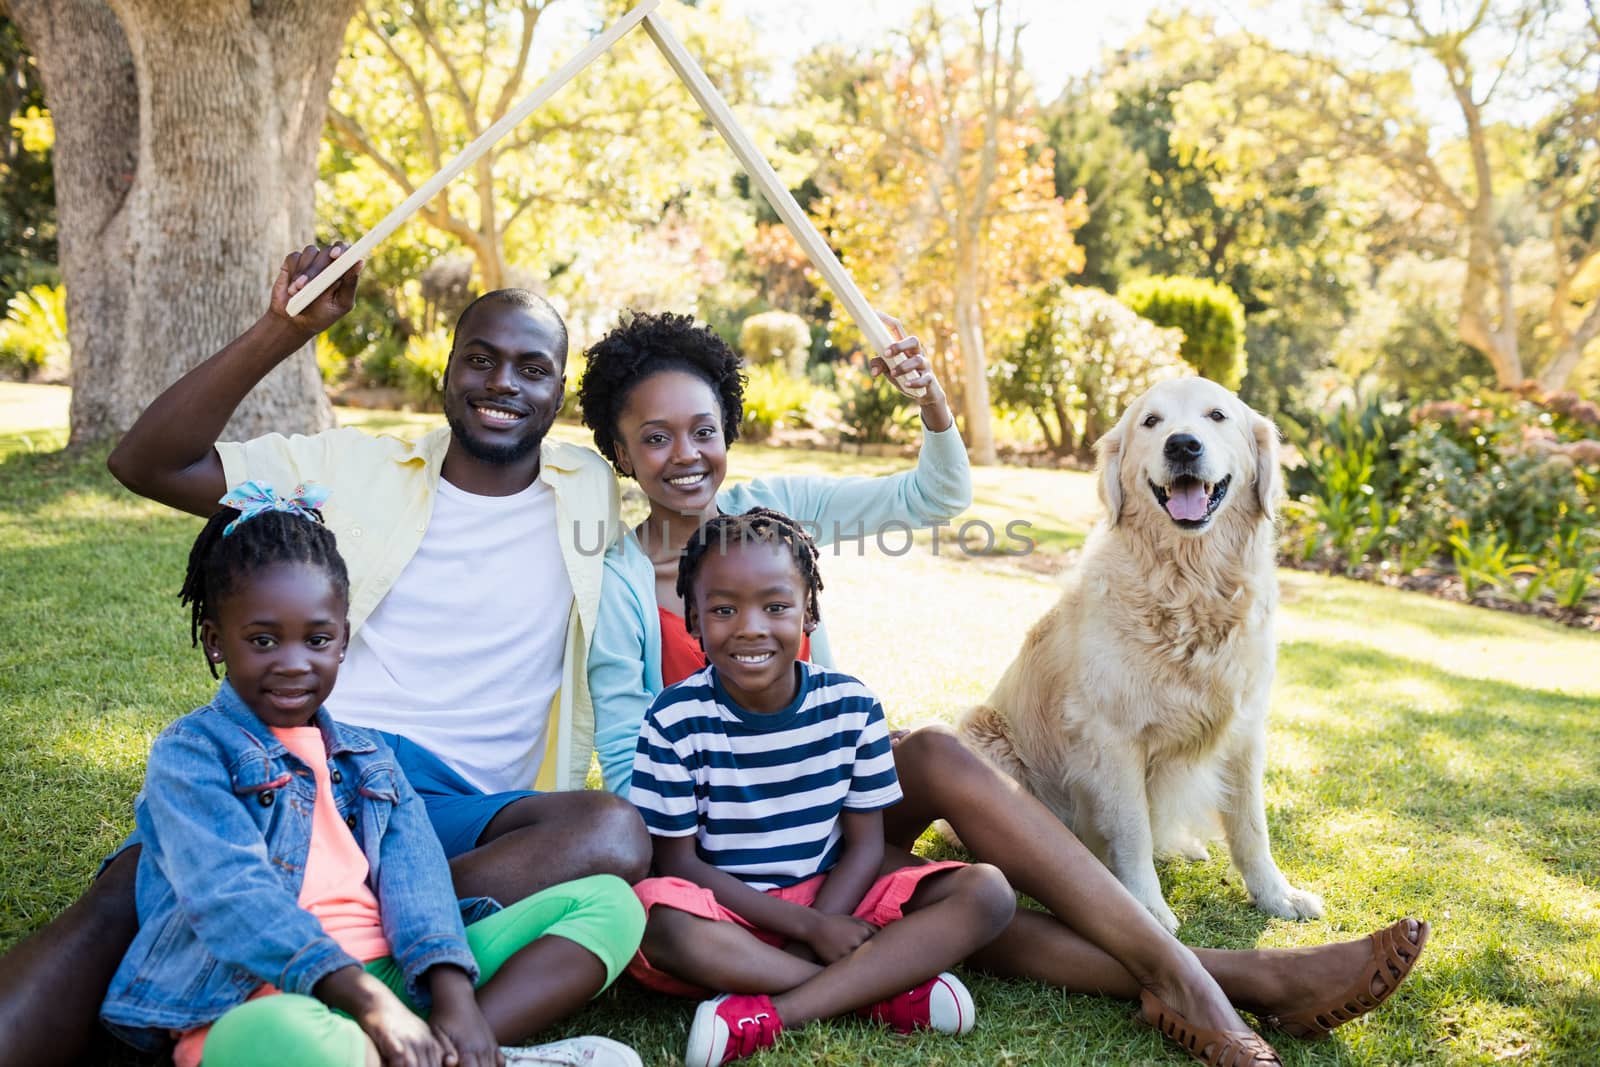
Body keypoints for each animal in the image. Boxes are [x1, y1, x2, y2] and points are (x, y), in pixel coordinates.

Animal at [953, 375, 1318, 934]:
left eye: (1217, 416)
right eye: (1151, 421)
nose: (1182, 445)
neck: (1190, 587)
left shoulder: (1245, 731)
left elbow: (1251, 827)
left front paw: (1277, 895)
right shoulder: (1113, 737)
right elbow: (1133, 831)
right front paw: (1145, 908)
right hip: (984, 733)